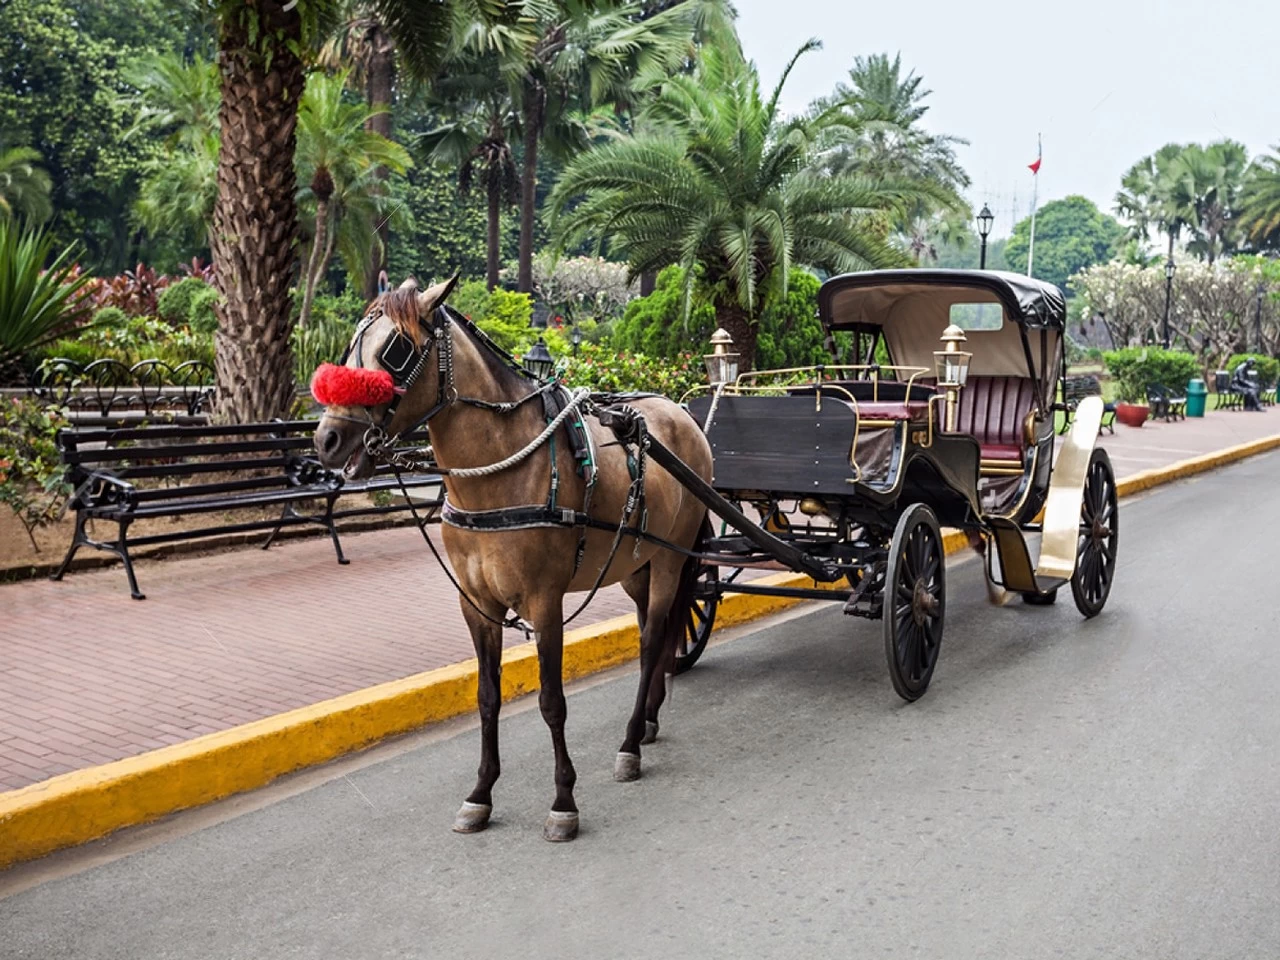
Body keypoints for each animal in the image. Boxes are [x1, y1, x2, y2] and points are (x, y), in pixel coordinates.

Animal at [309, 276, 711, 839]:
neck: (498, 472)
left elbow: (551, 702)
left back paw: (631, 741)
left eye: (396, 349)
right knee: (653, 628)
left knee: (653, 641)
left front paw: (563, 800)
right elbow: (487, 697)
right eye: (349, 346)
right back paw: (649, 718)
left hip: (673, 559)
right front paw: (480, 793)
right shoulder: (476, 604)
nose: (327, 438)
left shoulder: (545, 601)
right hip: (637, 562)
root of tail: (680, 414)